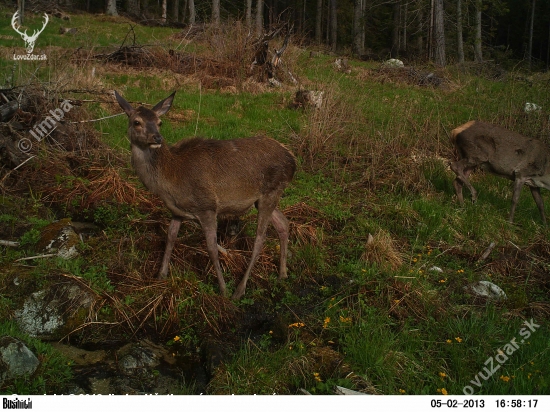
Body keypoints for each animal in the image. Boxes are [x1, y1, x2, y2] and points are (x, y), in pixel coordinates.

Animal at [115, 91, 298, 300]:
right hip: (263, 198)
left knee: (261, 238)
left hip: (271, 191)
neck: (169, 180)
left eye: (160, 122)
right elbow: (170, 238)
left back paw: (239, 290)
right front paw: (161, 275)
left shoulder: (207, 206)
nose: (157, 137)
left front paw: (223, 289)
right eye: (136, 122)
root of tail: (293, 160)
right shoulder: (177, 211)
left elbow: (211, 247)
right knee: (283, 223)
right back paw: (282, 274)